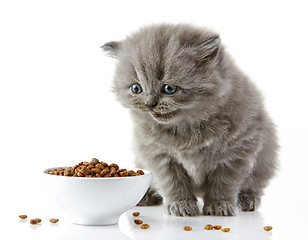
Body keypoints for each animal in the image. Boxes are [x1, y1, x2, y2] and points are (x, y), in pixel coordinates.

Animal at [102, 23, 278, 217]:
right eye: (136, 88)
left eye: (169, 88)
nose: (150, 104)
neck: (186, 128)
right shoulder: (157, 155)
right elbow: (172, 183)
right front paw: (181, 205)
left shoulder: (238, 152)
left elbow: (225, 183)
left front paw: (220, 205)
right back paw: (146, 196)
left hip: (265, 161)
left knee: (254, 185)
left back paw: (247, 199)